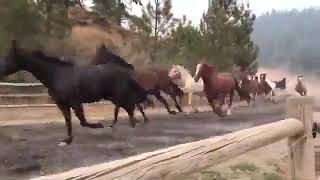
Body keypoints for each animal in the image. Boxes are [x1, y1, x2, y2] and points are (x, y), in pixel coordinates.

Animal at [2, 40, 148, 145]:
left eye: (8, 58)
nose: (0, 71)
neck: (56, 75)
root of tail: (124, 72)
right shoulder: (62, 104)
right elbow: (68, 121)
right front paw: (67, 140)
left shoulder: (75, 102)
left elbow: (82, 121)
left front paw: (99, 125)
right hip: (112, 97)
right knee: (128, 107)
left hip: (119, 95)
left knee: (130, 107)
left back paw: (132, 126)